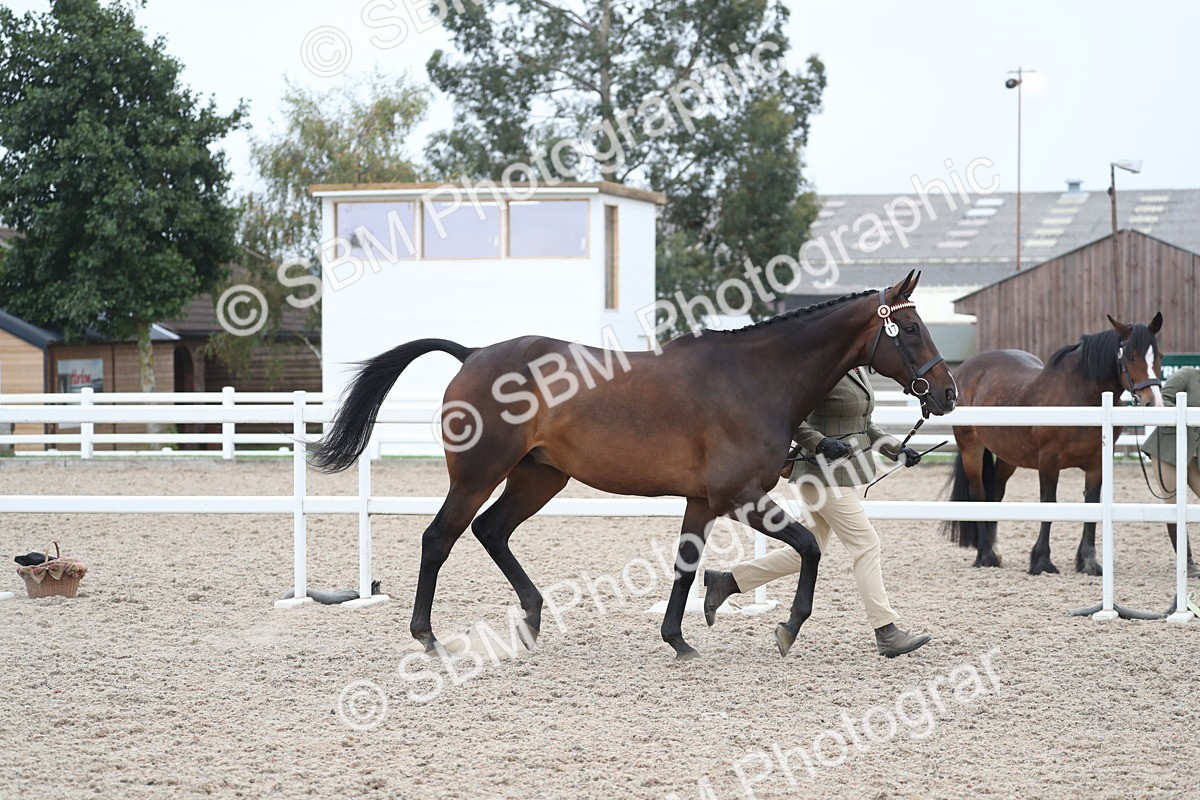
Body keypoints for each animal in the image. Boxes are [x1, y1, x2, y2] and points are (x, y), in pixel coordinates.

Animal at [310, 271, 957, 660]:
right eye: (912, 328)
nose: (947, 394)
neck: (754, 379)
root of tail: (473, 355)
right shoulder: (740, 496)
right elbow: (809, 547)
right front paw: (788, 627)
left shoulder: (703, 502)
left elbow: (687, 567)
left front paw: (680, 638)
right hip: (478, 474)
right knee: (439, 537)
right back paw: (428, 638)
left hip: (539, 475)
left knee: (491, 531)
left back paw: (532, 619)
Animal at [944, 313, 1163, 575]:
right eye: (1130, 356)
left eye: (1159, 356)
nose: (1153, 402)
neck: (1081, 396)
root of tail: (963, 370)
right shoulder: (1049, 461)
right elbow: (1048, 504)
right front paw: (1041, 561)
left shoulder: (1097, 464)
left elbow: (1091, 504)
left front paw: (1088, 562)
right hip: (971, 449)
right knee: (978, 495)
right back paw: (985, 555)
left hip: (1009, 456)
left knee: (995, 494)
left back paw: (994, 551)